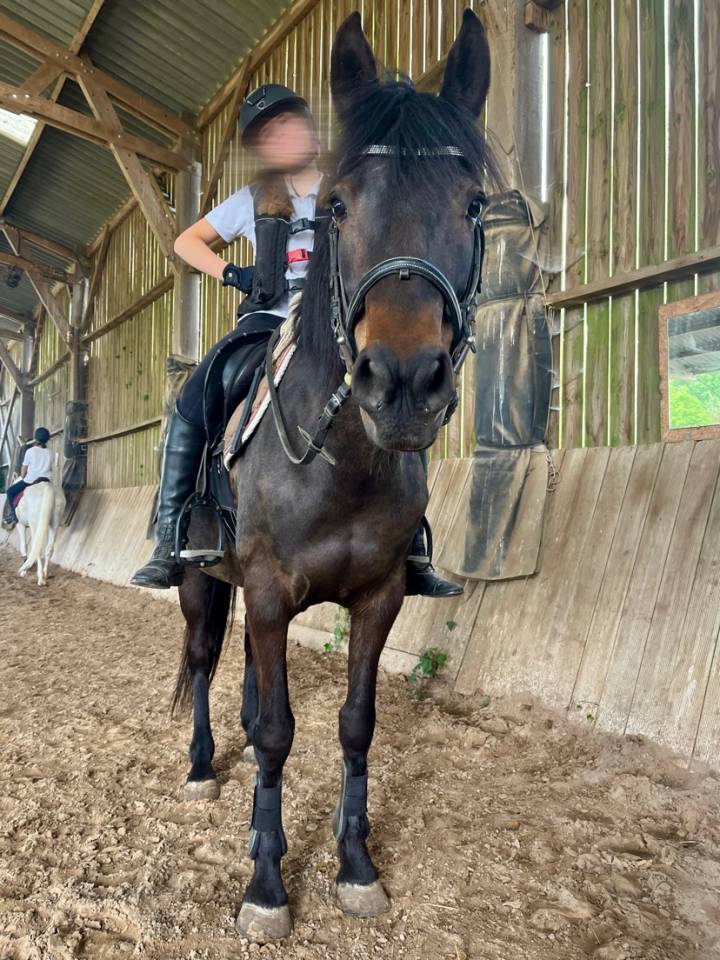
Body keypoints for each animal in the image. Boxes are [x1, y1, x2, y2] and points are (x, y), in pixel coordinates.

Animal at [173, 9, 495, 941]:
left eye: (473, 204)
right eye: (339, 207)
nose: (404, 383)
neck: (342, 461)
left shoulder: (377, 596)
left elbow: (355, 724)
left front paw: (355, 865)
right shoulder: (269, 588)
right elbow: (281, 733)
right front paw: (266, 883)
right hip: (200, 580)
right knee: (203, 662)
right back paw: (203, 768)